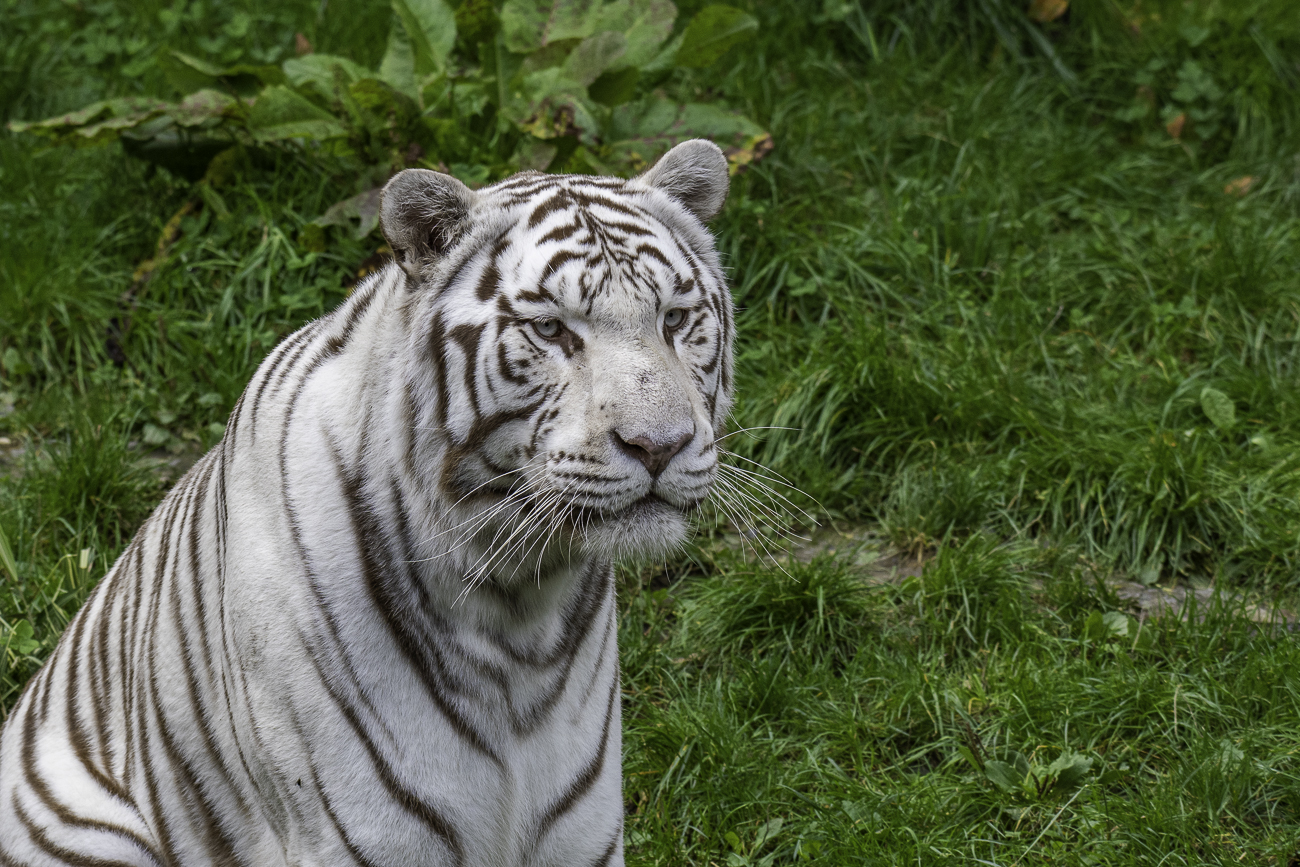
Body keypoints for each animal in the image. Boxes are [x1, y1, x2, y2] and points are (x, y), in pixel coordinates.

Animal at [0, 139, 735, 866]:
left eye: (674, 319)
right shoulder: (361, 834)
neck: (518, 604)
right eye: (551, 330)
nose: (659, 445)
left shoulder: (580, 837)